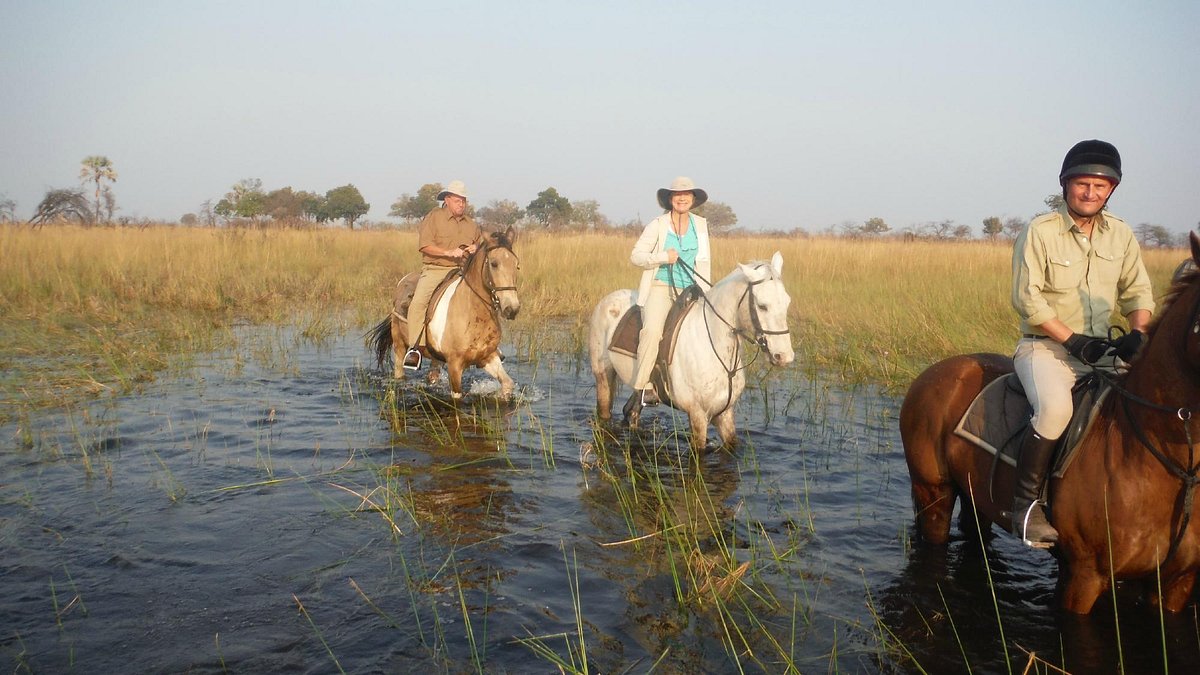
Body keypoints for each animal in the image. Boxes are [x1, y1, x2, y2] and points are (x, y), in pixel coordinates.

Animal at [362, 225, 518, 396]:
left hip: (435, 357)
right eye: (494, 264)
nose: (512, 309)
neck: (471, 312)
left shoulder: (488, 357)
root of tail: (403, 280)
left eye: (516, 265)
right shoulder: (454, 364)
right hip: (399, 346)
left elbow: (508, 384)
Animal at [590, 248, 796, 446]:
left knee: (631, 412)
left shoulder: (725, 414)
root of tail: (608, 300)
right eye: (762, 306)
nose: (784, 356)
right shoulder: (697, 415)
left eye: (787, 302)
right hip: (603, 375)